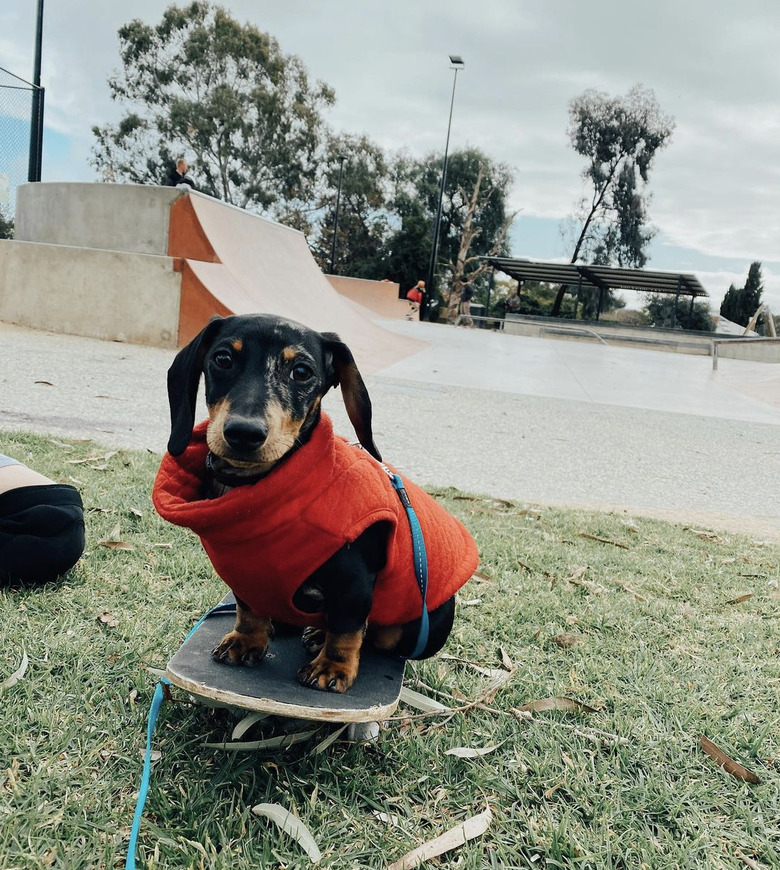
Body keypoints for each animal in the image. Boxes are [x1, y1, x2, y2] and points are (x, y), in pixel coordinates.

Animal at [152, 314, 476, 696]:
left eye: (302, 372)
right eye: (222, 359)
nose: (244, 433)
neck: (257, 491)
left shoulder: (354, 583)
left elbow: (348, 628)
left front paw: (332, 667)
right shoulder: (245, 574)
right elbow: (248, 610)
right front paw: (246, 641)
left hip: (419, 627)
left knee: (375, 633)